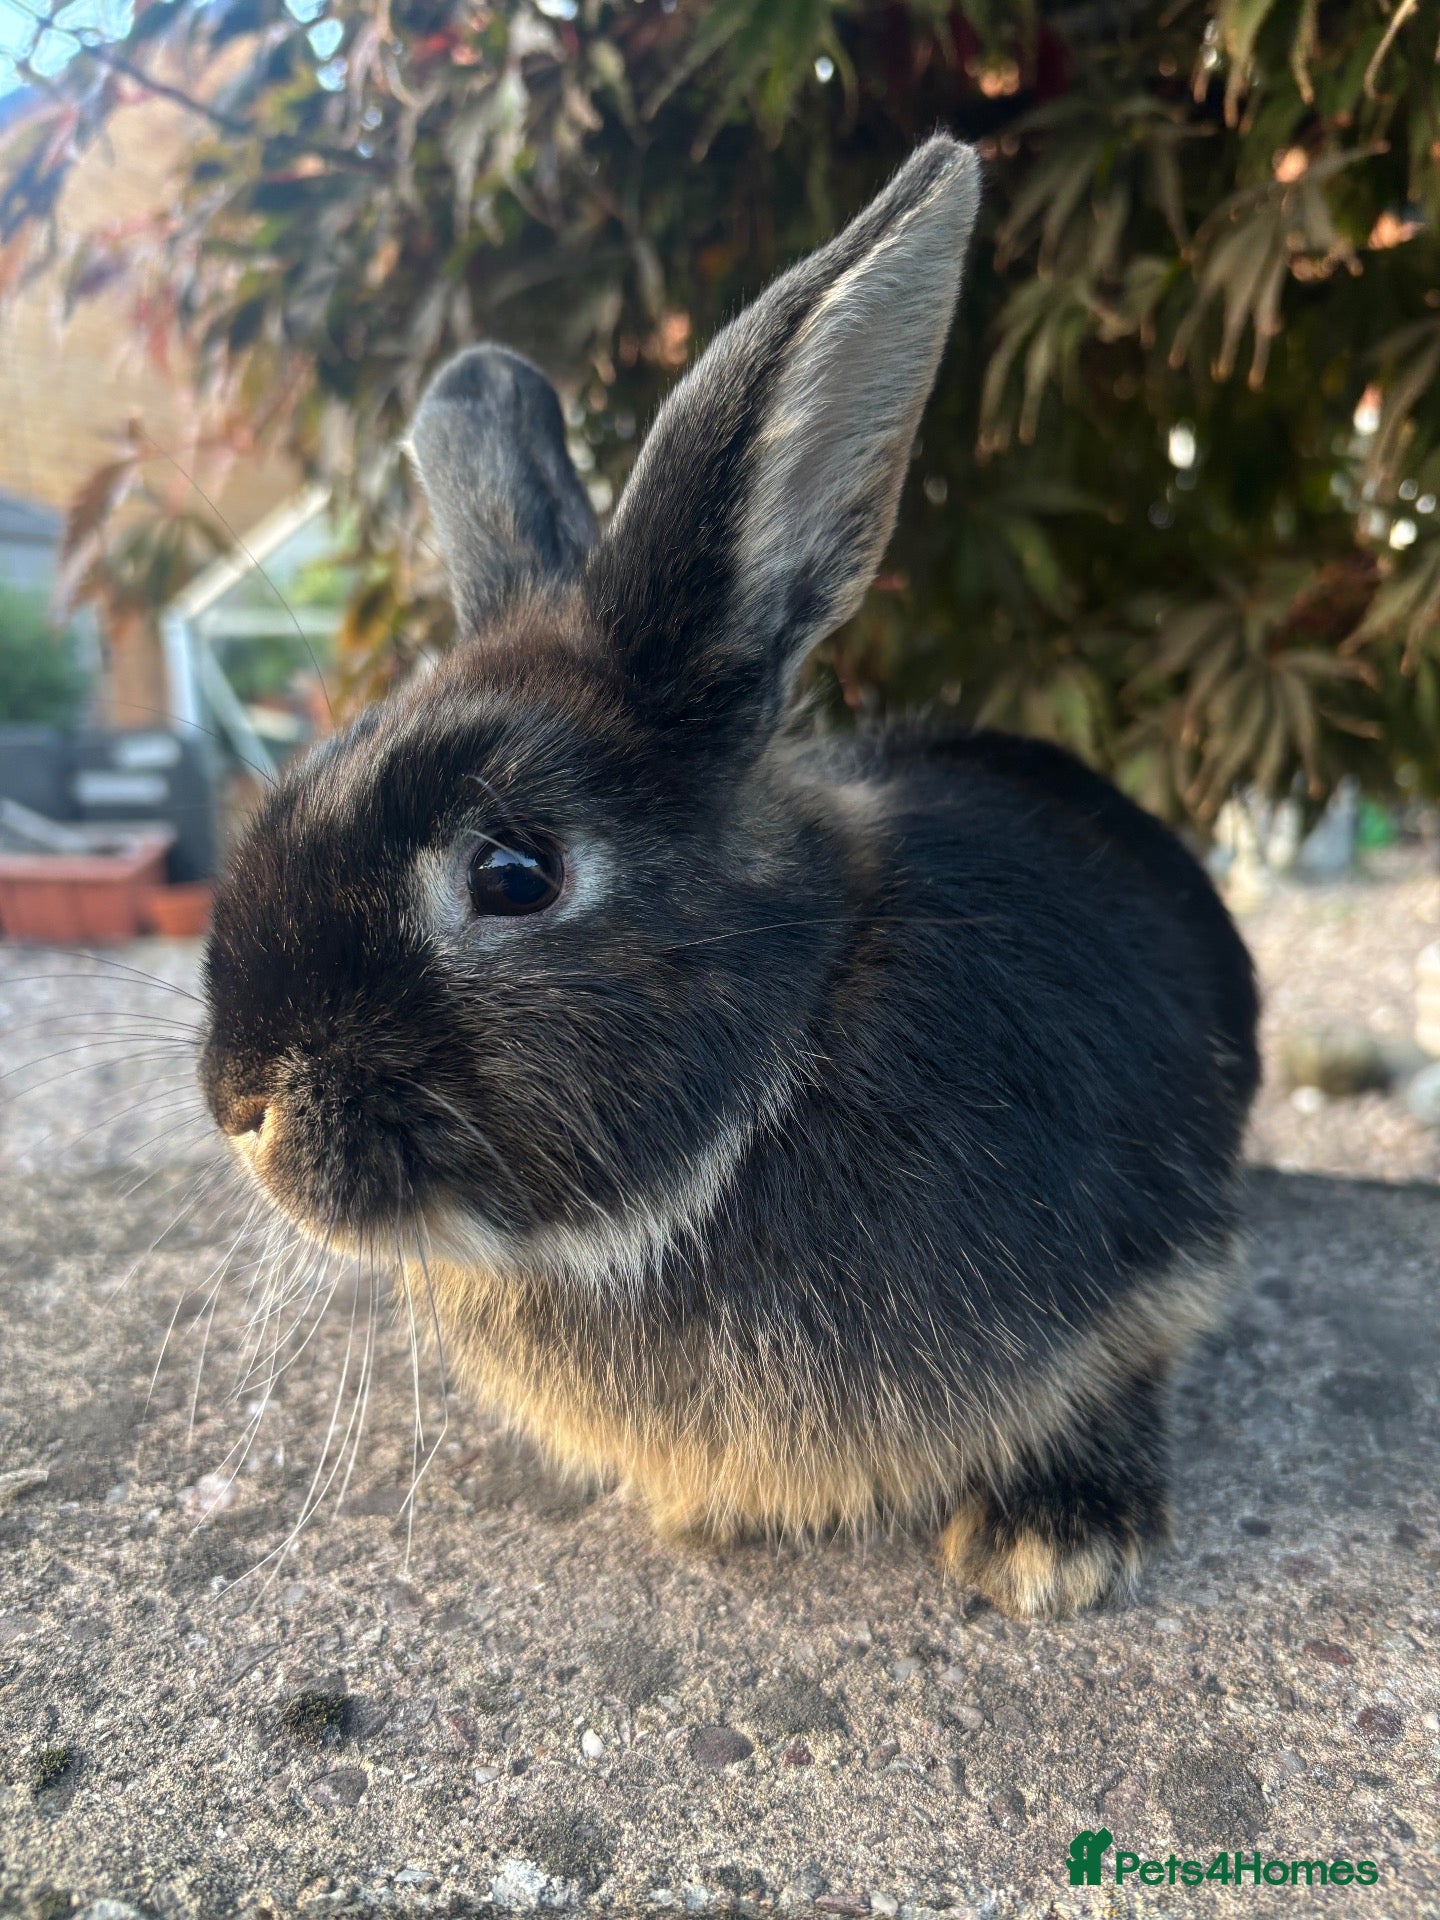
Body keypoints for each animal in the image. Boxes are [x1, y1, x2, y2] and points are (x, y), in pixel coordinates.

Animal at [199, 135, 1259, 1619]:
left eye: (513, 873)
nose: (240, 1105)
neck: (788, 1048)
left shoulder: (1156, 1262)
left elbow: (1127, 1367)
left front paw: (1054, 1545)